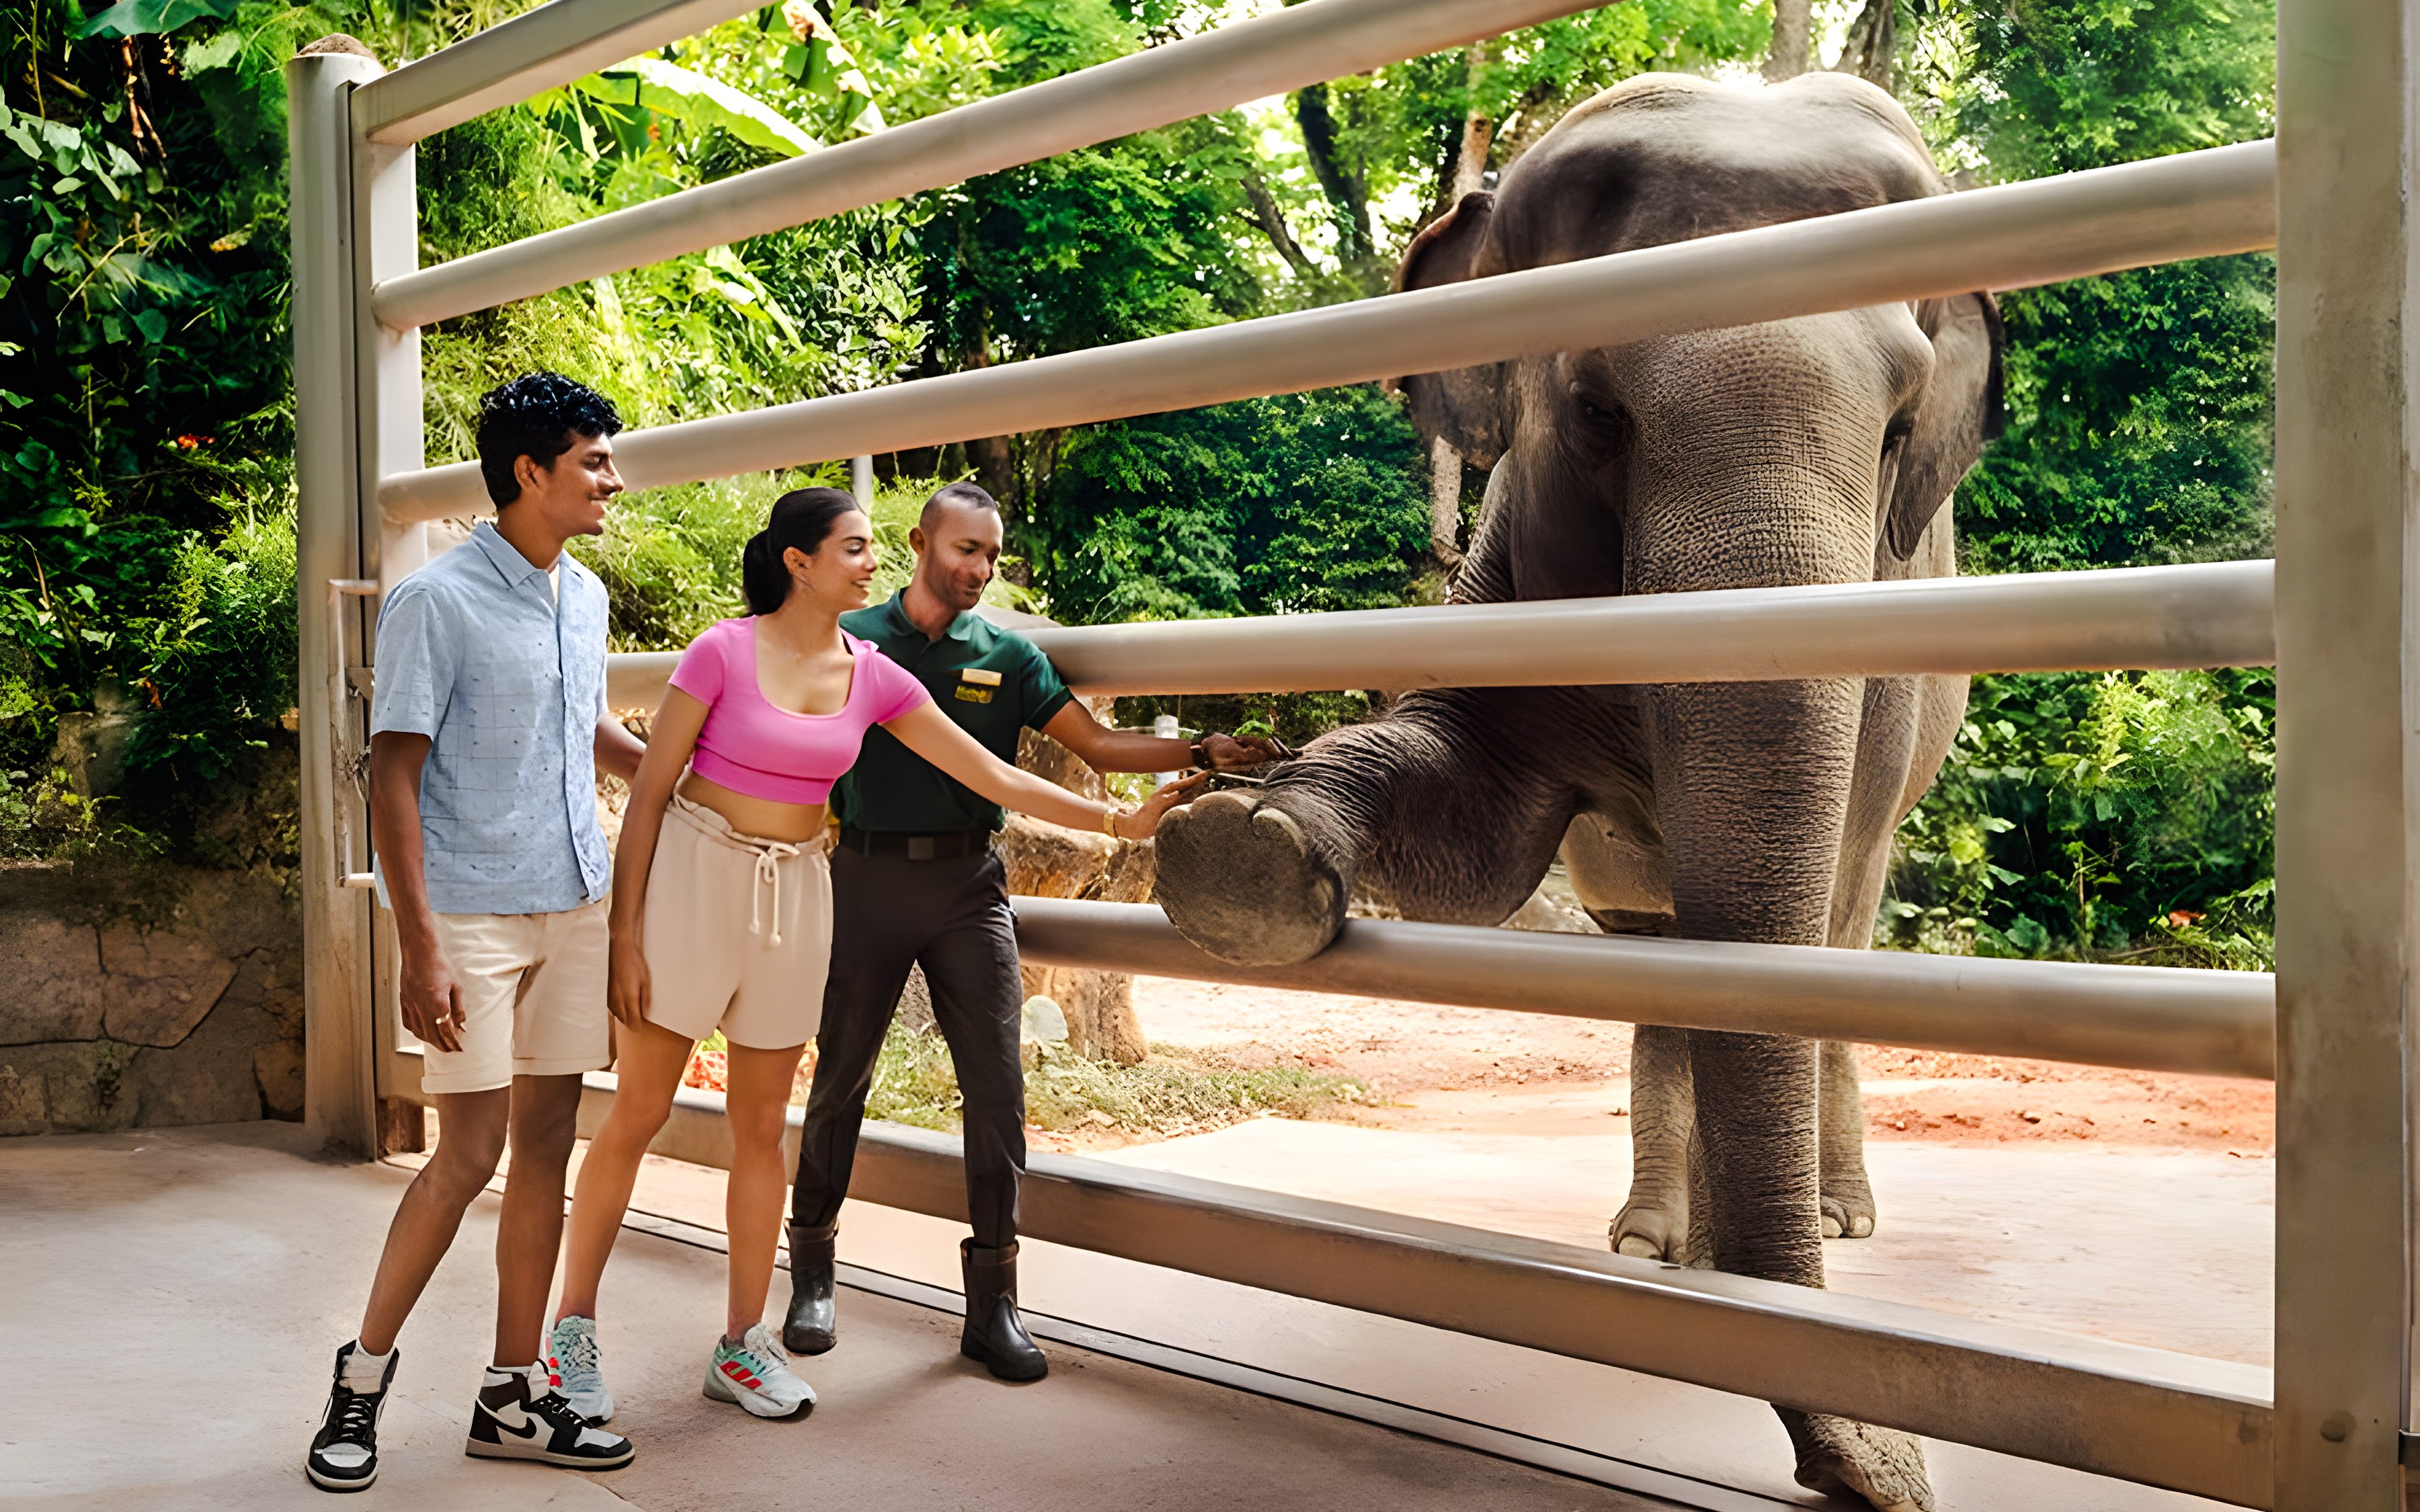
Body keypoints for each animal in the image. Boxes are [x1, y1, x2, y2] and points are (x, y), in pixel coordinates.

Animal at [1150, 71, 1999, 1512]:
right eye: (1599, 412)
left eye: (1896, 431)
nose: (1883, 1480)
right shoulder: (1509, 577)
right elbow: (1474, 840)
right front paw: (1242, 850)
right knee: (1664, 965)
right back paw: (1657, 1244)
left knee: (1835, 936)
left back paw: (1827, 1220)